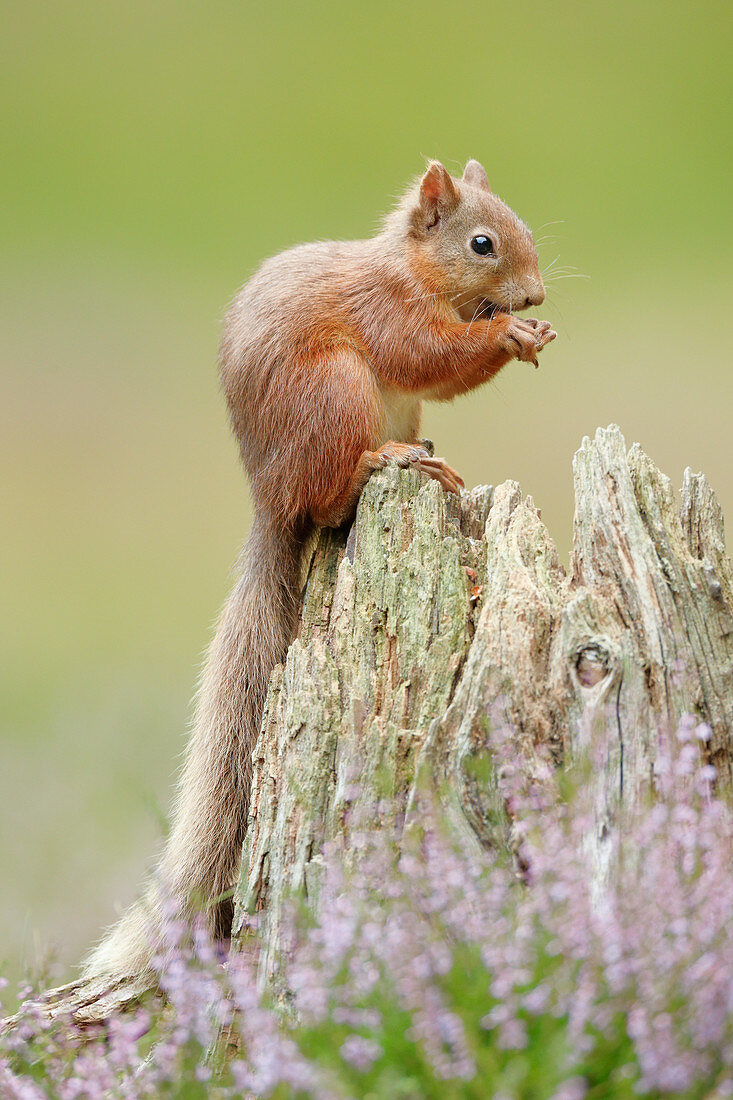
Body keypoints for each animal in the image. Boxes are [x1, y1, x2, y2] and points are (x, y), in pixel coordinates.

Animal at [84, 157, 554, 981]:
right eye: (482, 243)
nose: (534, 297)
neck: (412, 271)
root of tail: (271, 497)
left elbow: (440, 375)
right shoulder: (386, 315)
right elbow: (427, 356)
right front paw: (507, 332)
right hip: (334, 392)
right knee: (332, 500)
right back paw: (386, 463)